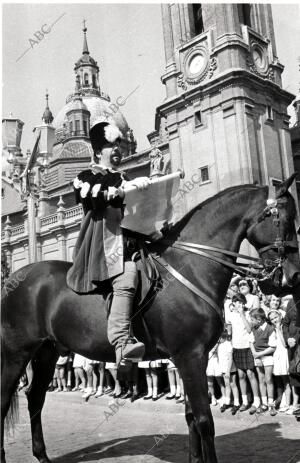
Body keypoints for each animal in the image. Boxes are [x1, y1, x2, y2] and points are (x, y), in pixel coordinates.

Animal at [1, 175, 300, 463]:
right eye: (285, 220)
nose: (293, 275)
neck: (190, 268)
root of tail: (12, 280)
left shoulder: (193, 357)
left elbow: (191, 417)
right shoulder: (190, 355)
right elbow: (204, 420)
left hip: (46, 352)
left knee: (35, 397)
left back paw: (42, 455)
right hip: (16, 353)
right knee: (6, 400)